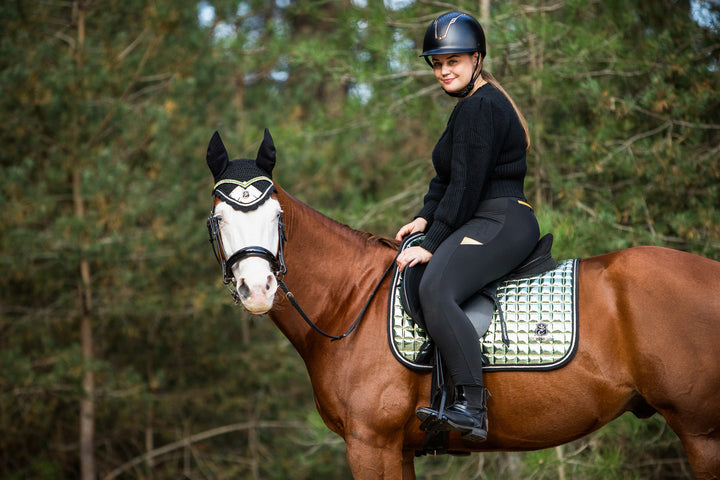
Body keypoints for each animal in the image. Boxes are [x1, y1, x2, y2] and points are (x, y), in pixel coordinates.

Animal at [204, 129, 720, 478]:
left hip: (702, 432)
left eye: (276, 215)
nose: (257, 288)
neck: (351, 300)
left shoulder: (370, 443)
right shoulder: (396, 448)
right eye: (219, 218)